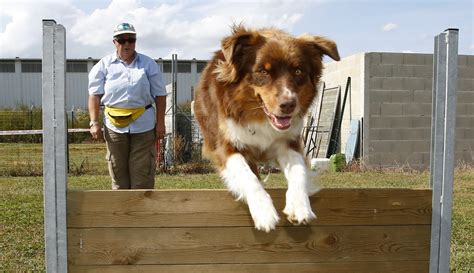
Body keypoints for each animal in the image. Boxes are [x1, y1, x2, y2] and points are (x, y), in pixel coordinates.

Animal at [194, 24, 338, 231]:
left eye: (298, 71)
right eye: (263, 71)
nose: (289, 105)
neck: (260, 118)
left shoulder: (289, 142)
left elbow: (299, 172)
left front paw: (300, 207)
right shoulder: (225, 146)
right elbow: (247, 176)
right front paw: (264, 212)